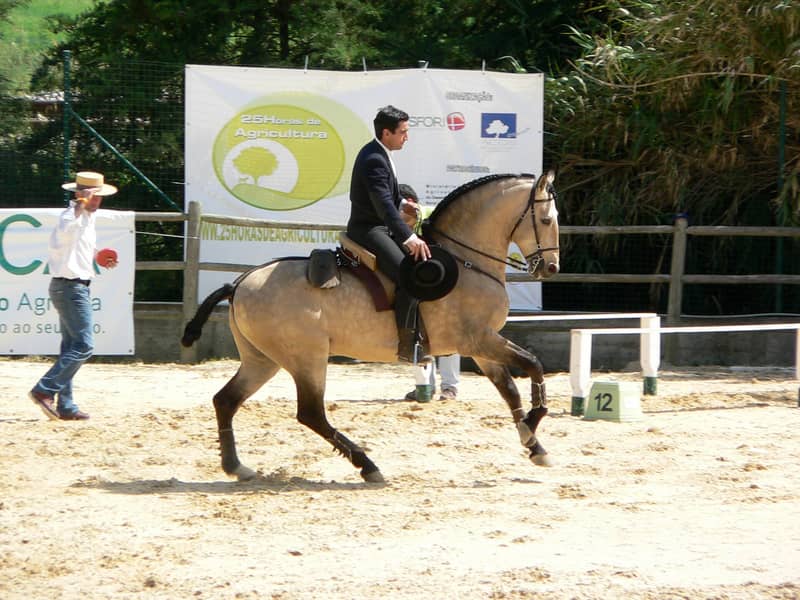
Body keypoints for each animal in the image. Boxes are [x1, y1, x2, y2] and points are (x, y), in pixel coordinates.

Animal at [181, 171, 560, 483]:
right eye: (545, 219)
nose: (551, 268)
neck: (466, 262)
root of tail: (240, 283)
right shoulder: (478, 339)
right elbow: (533, 364)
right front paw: (532, 426)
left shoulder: (481, 345)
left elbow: (509, 389)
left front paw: (534, 446)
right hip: (306, 358)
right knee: (310, 413)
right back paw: (368, 466)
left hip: (262, 360)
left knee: (226, 400)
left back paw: (236, 466)